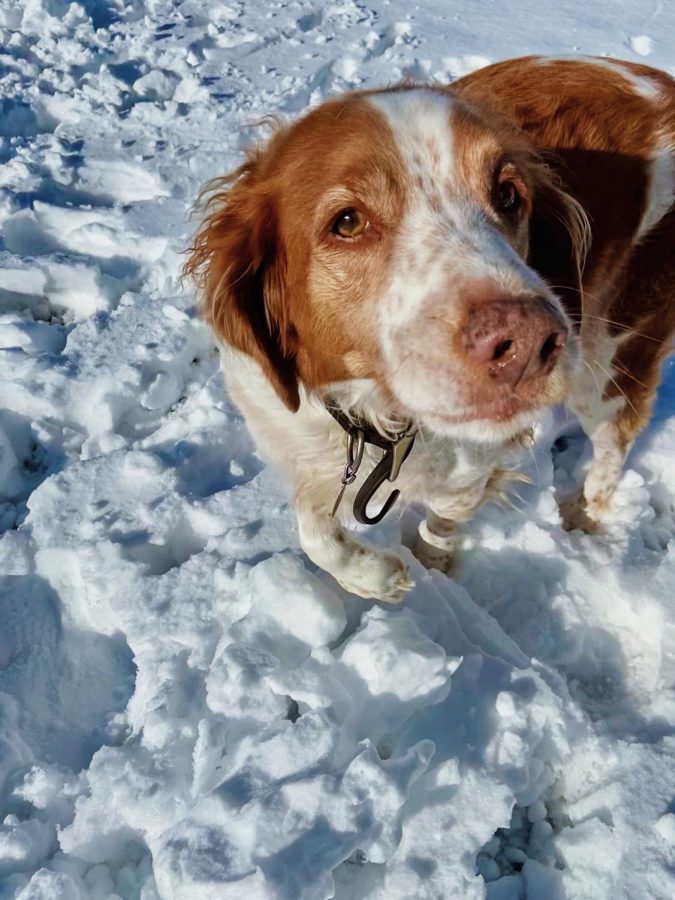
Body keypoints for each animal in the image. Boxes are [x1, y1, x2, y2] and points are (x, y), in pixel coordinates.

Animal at [184, 58, 675, 604]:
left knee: (613, 444)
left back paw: (585, 517)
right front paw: (374, 576)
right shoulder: (295, 441)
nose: (528, 344)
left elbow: (445, 516)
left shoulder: (473, 463)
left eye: (508, 195)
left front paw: (431, 564)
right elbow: (316, 534)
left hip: (611, 357)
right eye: (348, 222)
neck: (378, 418)